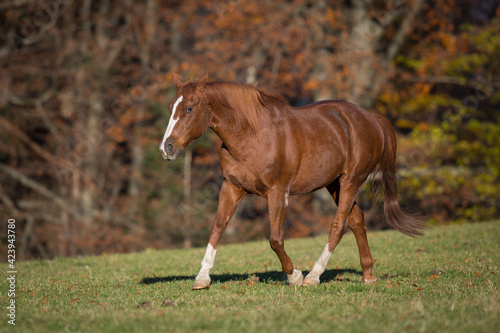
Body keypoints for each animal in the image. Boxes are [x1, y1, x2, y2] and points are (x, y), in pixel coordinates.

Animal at [160, 74, 426, 290]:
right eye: (171, 107)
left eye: (189, 109)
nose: (167, 148)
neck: (252, 135)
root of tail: (371, 118)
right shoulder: (231, 188)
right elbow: (217, 228)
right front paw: (202, 277)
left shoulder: (278, 193)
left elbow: (275, 239)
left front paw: (294, 275)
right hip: (334, 184)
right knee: (357, 219)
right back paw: (368, 275)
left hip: (351, 181)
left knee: (339, 226)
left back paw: (314, 276)